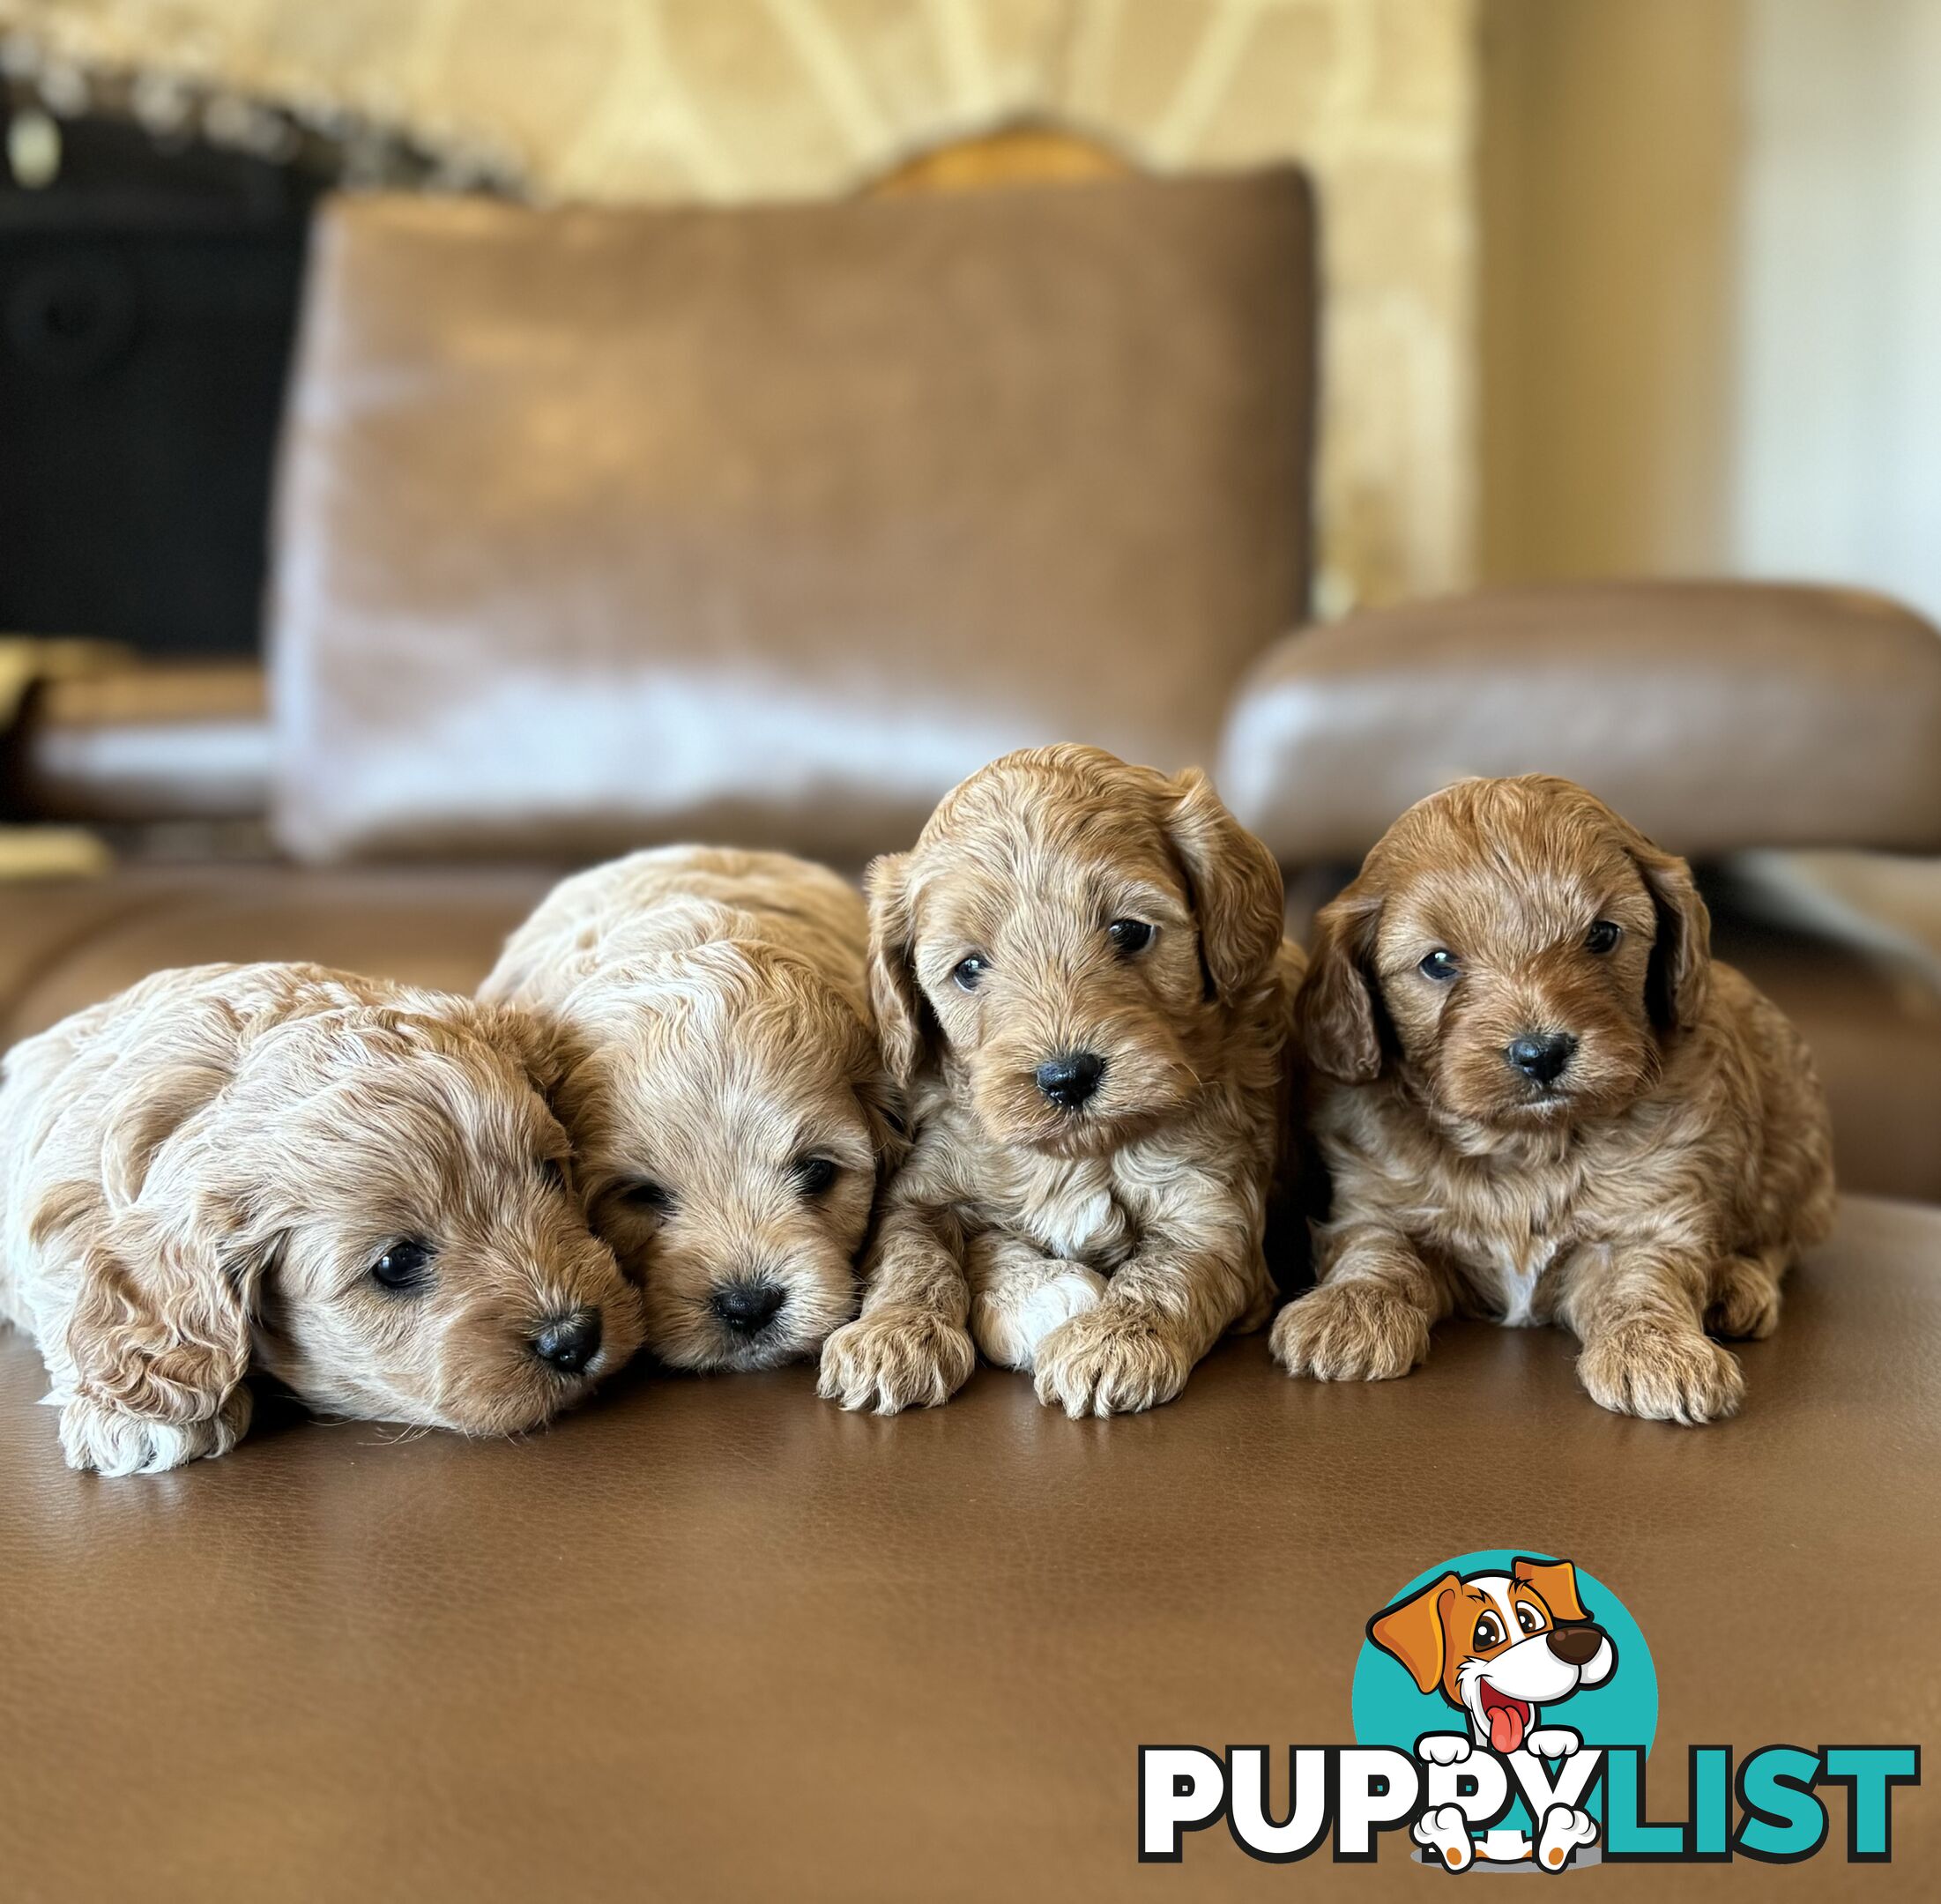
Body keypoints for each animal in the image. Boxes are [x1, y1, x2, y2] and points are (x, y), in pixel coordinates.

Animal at [819, 741, 1304, 1412]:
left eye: (1129, 930)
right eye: (969, 968)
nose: (1067, 1077)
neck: (1078, 1155)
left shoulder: (1212, 1212)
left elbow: (1167, 1274)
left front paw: (1113, 1342)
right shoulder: (917, 1191)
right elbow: (910, 1255)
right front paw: (893, 1335)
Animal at [1273, 764, 1832, 1420]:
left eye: (1603, 935)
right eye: (1437, 962)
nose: (1541, 1054)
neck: (1526, 1146)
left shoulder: (1647, 1216)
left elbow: (1643, 1279)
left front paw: (1659, 1349)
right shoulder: (1377, 1197)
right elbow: (1378, 1248)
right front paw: (1350, 1308)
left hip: (1795, 1149)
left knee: (1781, 1238)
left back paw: (1738, 1283)